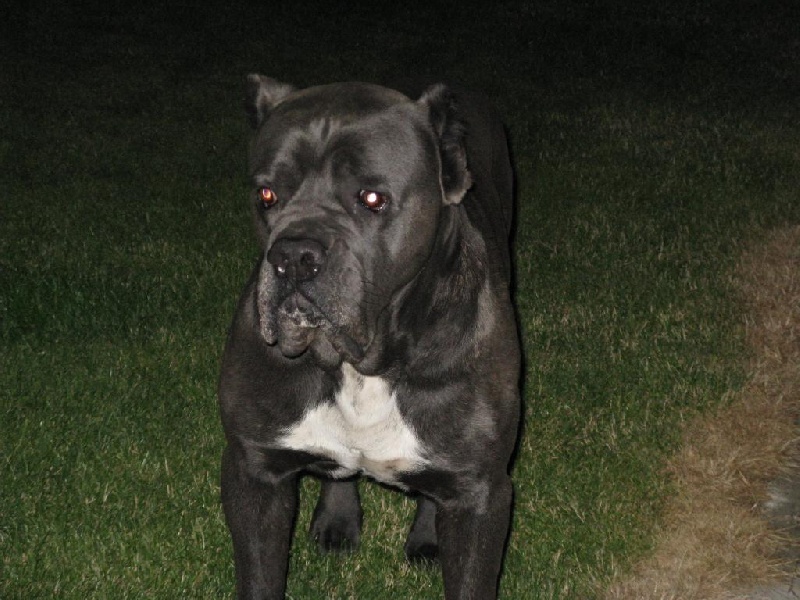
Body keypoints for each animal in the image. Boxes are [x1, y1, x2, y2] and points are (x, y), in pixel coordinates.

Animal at [218, 75, 521, 599]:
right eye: (267, 195)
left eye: (372, 198)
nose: (293, 256)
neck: (360, 365)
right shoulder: (254, 472)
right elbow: (260, 576)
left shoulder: (480, 494)